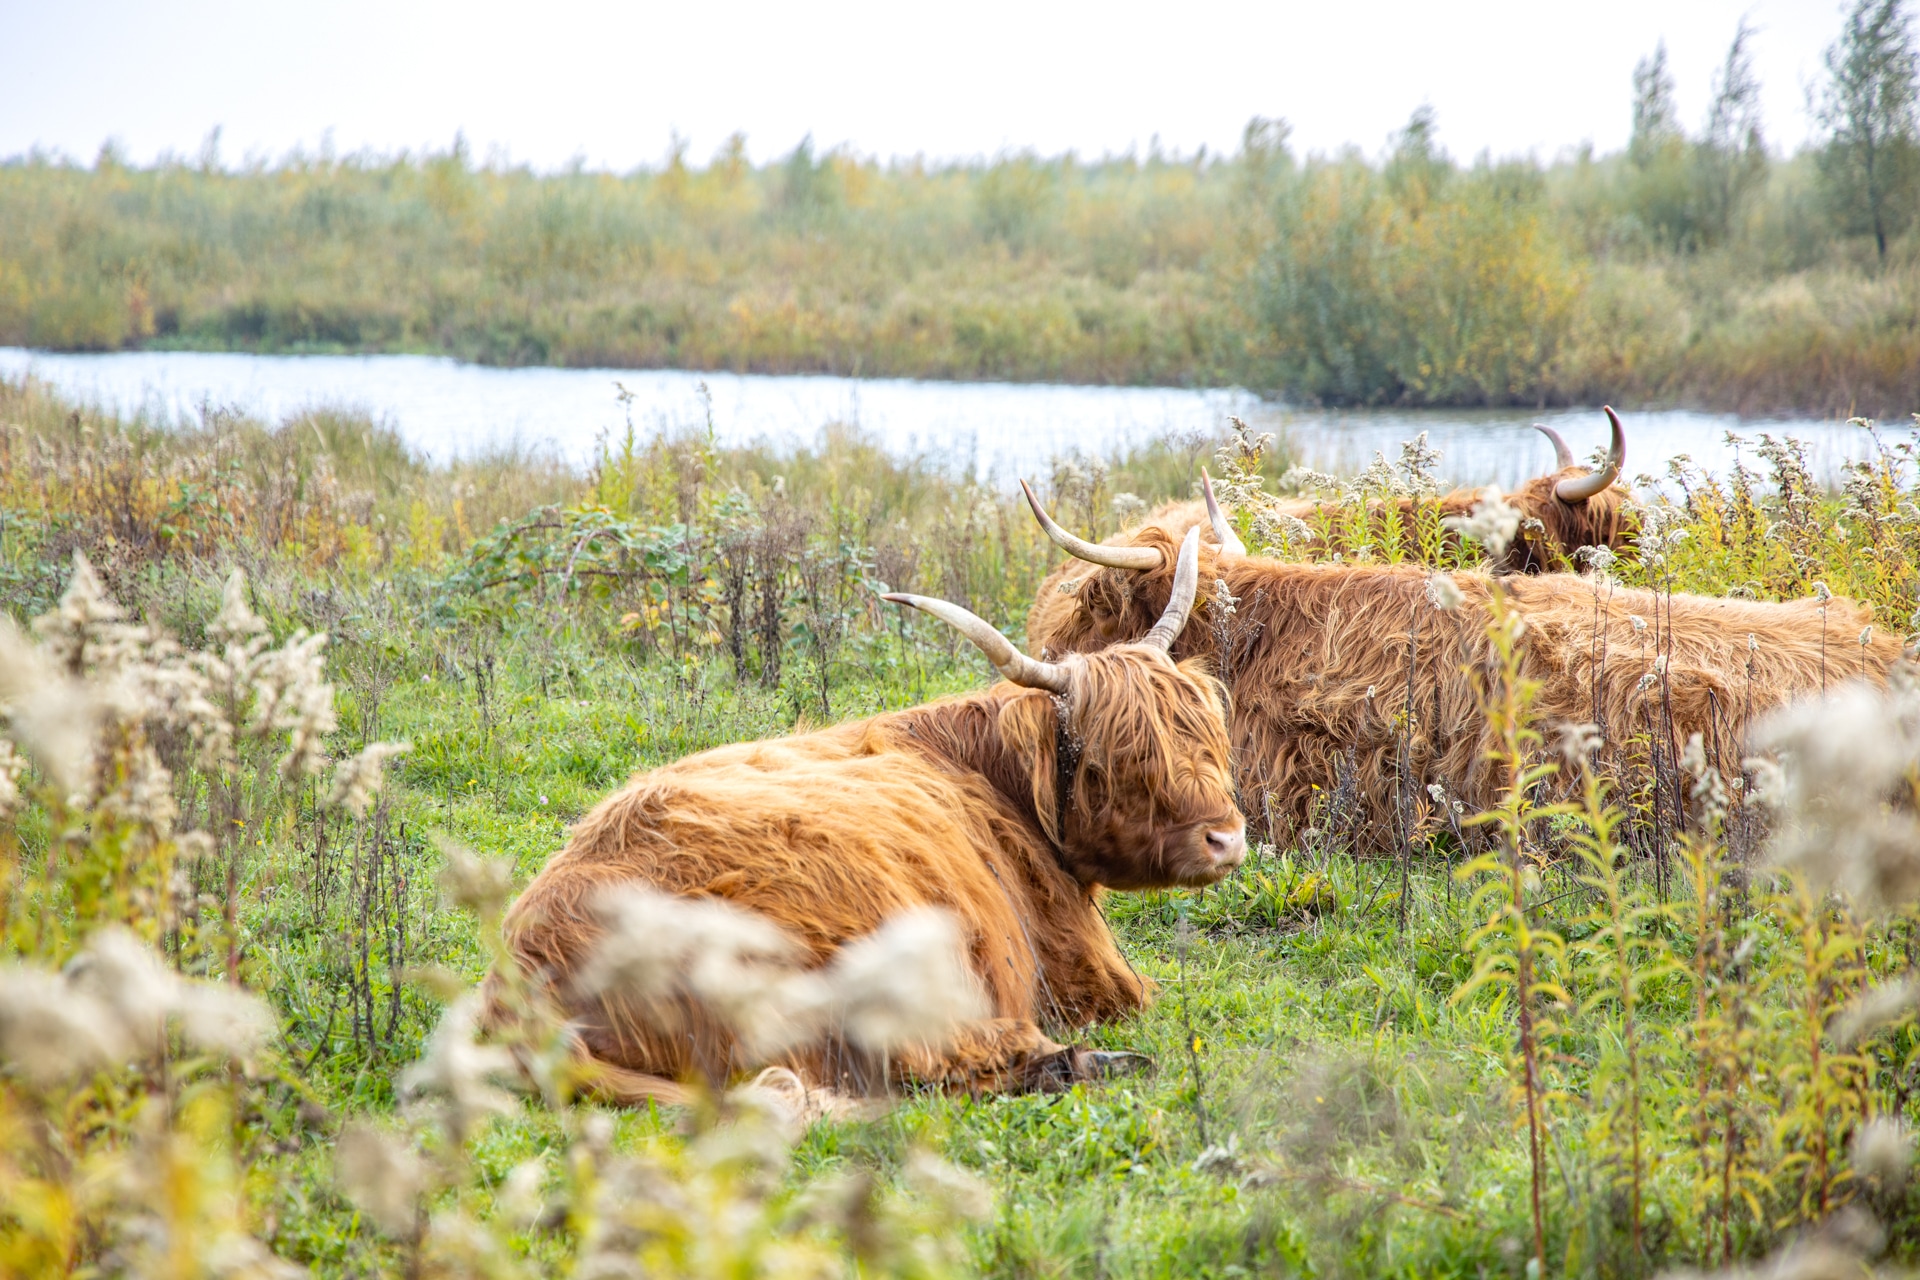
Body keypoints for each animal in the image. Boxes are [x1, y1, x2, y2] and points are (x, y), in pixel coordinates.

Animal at [495, 527, 1248, 1103]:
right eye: (1115, 757)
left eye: (1203, 735)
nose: (1226, 839)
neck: (992, 777)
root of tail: (525, 974)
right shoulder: (1088, 972)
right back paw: (1081, 1062)